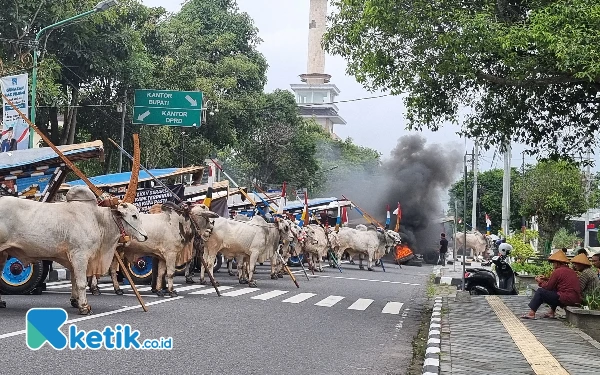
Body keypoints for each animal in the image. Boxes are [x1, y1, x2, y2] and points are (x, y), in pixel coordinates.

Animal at [0, 187, 148, 314]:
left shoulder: (72, 259)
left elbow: (74, 281)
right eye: (134, 215)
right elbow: (81, 283)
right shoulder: (80, 255)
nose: (145, 236)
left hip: (3, 254)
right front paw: (84, 307)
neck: (97, 220)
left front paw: (75, 301)